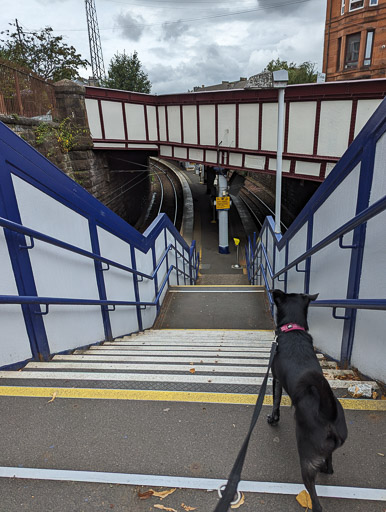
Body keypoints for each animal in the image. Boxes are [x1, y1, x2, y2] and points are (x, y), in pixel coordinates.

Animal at [268, 290, 346, 510]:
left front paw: (273, 419)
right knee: (329, 465)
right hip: (325, 451)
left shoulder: (276, 379)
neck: (293, 329)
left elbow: (275, 401)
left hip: (306, 456)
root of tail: (328, 414)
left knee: (314, 495)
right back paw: (326, 468)